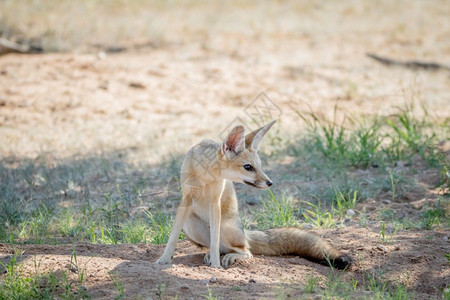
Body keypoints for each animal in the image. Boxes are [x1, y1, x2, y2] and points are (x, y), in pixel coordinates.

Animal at [156, 120, 354, 270]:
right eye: (248, 167)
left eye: (259, 166)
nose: (270, 183)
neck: (204, 177)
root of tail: (244, 231)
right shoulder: (186, 199)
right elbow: (173, 237)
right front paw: (164, 259)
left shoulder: (215, 202)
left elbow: (215, 242)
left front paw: (216, 267)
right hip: (191, 225)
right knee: (223, 247)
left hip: (225, 228)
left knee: (245, 250)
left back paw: (227, 257)